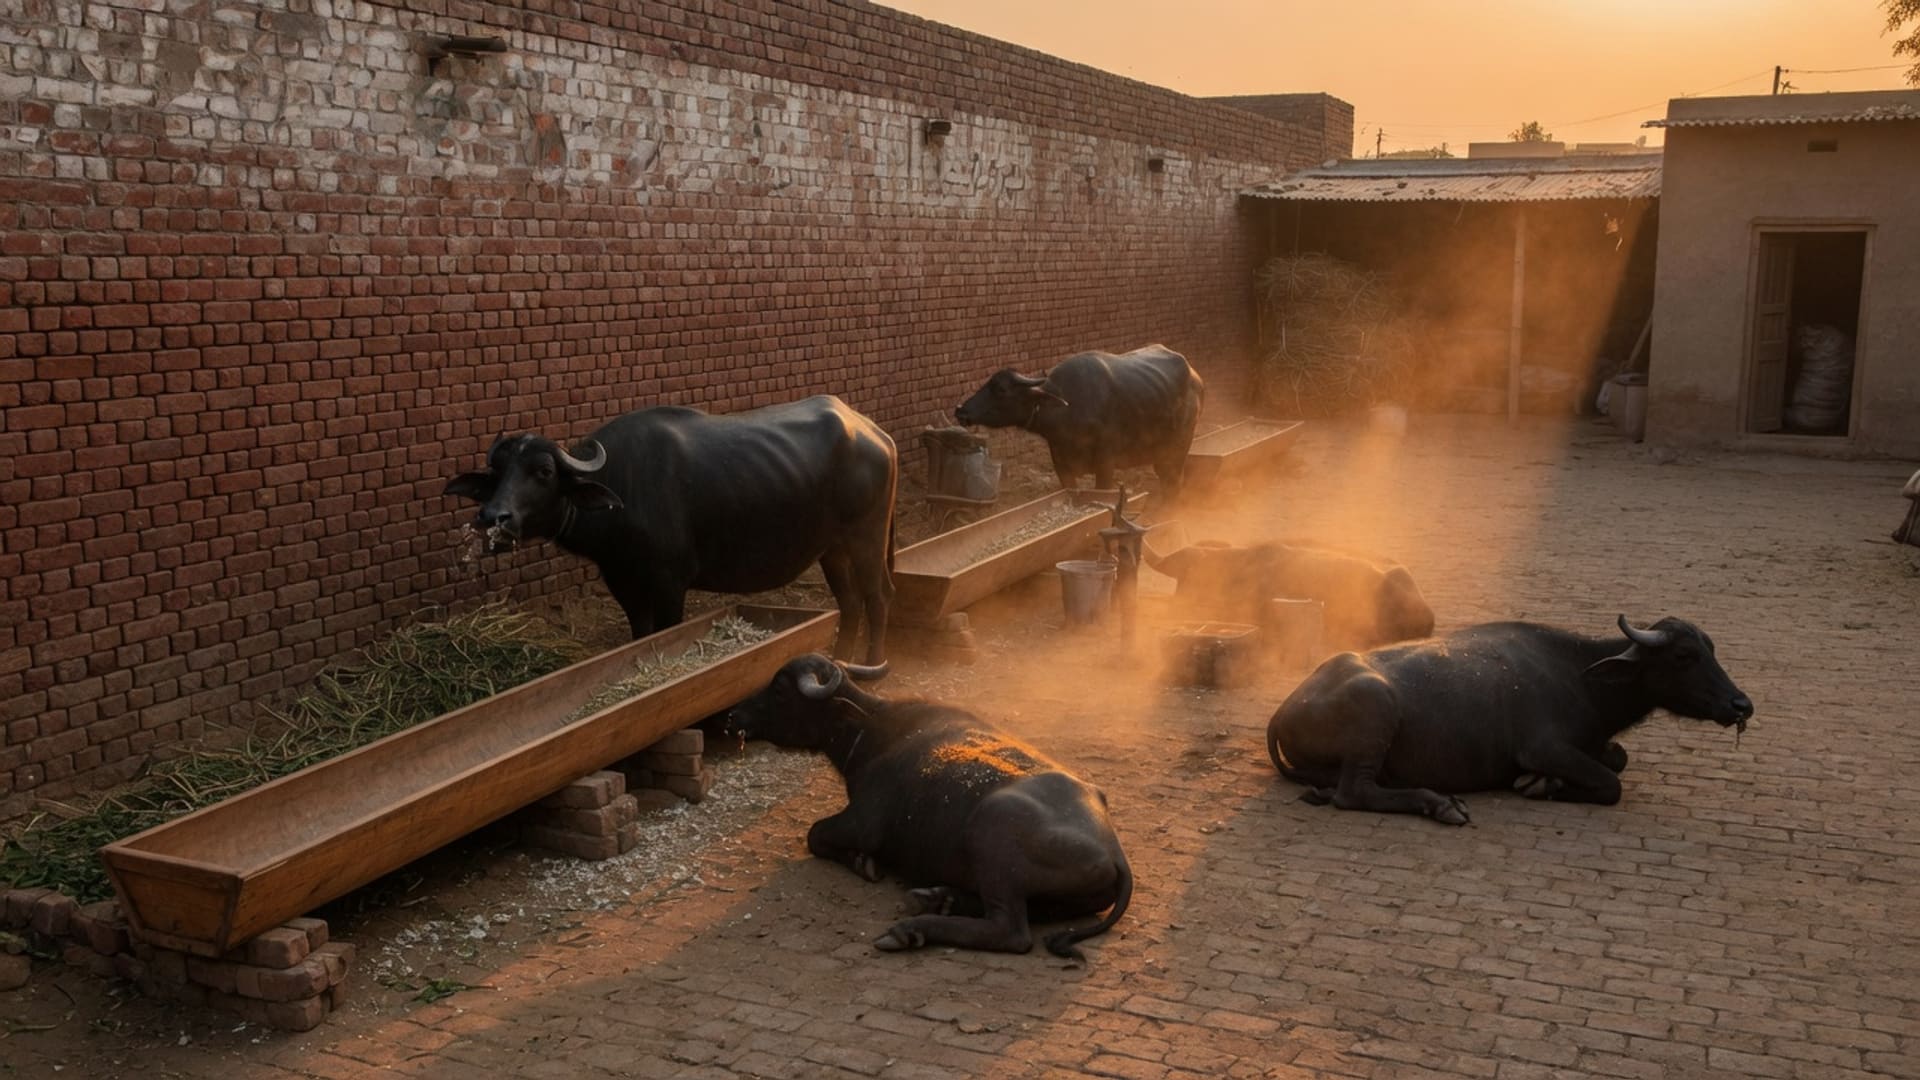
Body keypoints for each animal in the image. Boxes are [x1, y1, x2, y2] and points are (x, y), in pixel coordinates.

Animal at [444, 395, 897, 668]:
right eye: (497, 473)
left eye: (543, 472)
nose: (494, 516)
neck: (622, 488)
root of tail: (874, 432)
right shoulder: (623, 584)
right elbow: (640, 635)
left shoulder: (669, 584)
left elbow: (665, 633)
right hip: (832, 549)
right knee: (850, 603)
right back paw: (840, 660)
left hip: (868, 539)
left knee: (876, 599)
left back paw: (873, 663)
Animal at [725, 654, 1134, 960]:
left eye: (780, 689)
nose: (733, 716)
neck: (870, 732)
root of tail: (1114, 853)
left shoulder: (863, 823)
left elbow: (815, 835)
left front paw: (862, 863)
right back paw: (936, 898)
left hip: (992, 834)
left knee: (1011, 931)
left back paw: (912, 928)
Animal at [954, 344, 1204, 501]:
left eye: (1001, 390)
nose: (960, 410)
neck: (1068, 409)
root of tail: (1195, 377)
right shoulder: (1062, 466)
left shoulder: (1105, 464)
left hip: (1179, 447)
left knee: (1173, 484)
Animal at [1266, 615, 1753, 825]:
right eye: (1684, 656)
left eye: (1712, 649)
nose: (1741, 705)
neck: (1579, 676)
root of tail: (1284, 709)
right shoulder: (1541, 747)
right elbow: (1611, 783)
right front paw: (1538, 784)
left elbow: (1618, 758)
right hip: (1375, 710)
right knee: (1353, 792)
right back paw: (1442, 805)